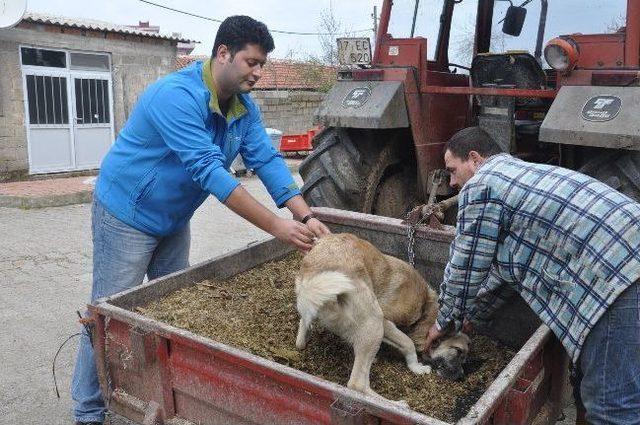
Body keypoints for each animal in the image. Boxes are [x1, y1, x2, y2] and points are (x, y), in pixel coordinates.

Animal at [296, 232, 470, 398]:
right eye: (458, 351)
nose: (462, 377)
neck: (424, 308)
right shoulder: (386, 321)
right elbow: (408, 343)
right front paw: (416, 368)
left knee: (302, 329)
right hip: (375, 324)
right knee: (357, 384)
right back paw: (397, 404)